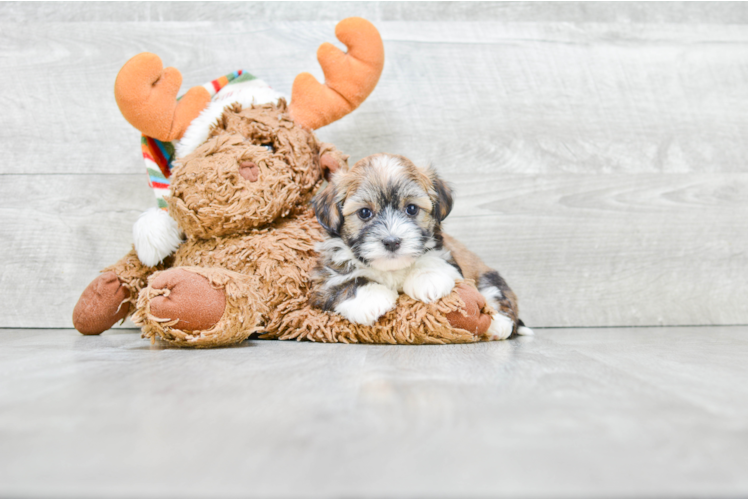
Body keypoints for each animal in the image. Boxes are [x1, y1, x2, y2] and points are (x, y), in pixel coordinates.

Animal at [310, 152, 532, 340]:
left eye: (411, 209)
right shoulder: (324, 278)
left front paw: (427, 279)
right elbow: (342, 282)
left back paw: (499, 324)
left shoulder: (447, 255)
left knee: (496, 297)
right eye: (364, 212)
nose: (392, 241)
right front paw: (371, 298)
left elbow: (433, 260)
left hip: (488, 277)